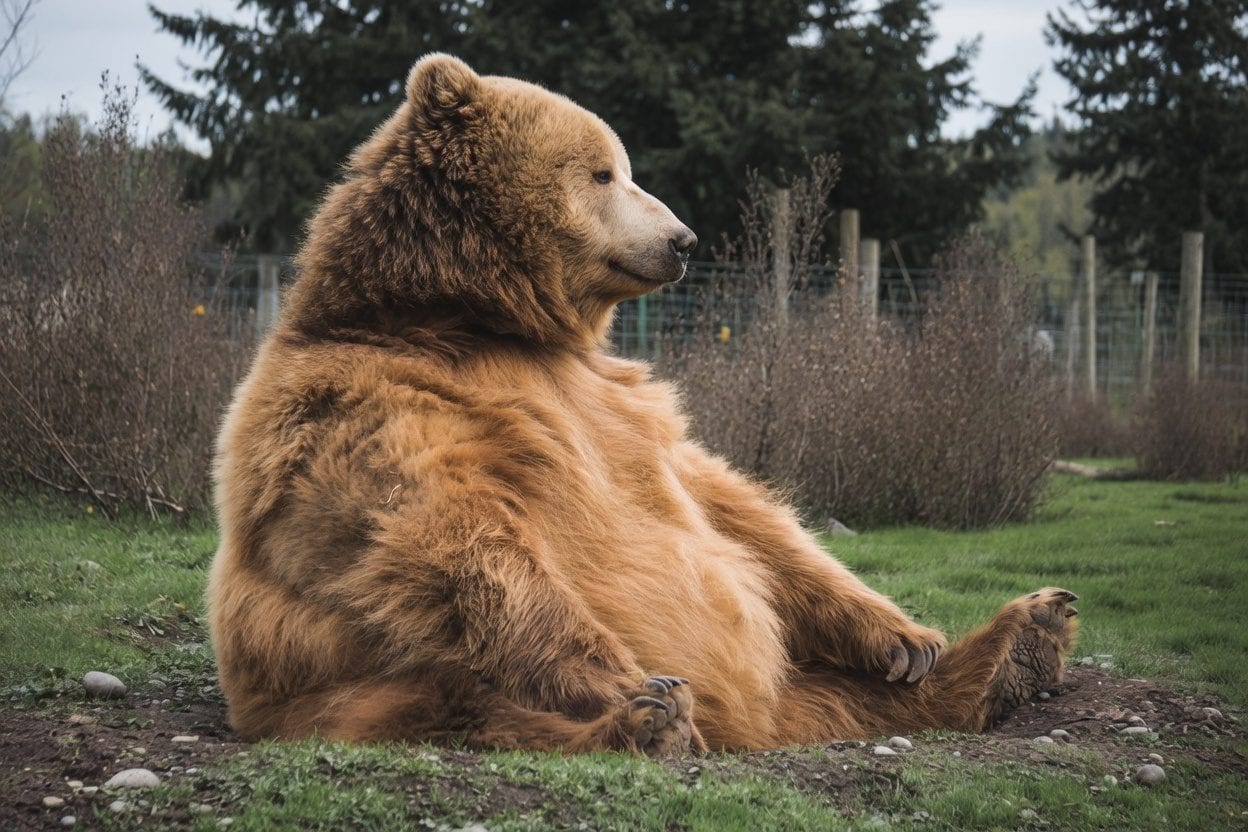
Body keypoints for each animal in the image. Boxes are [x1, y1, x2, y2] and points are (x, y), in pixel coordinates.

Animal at [210, 53, 1078, 754]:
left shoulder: (618, 403)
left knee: (842, 695)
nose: (684, 240)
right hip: (348, 683)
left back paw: (1016, 643)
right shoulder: (366, 402)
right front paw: (634, 682)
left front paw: (904, 635)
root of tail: (752, 724)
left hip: (799, 683)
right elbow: (447, 535)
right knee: (463, 706)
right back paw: (648, 721)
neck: (466, 317)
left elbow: (732, 507)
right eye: (602, 172)